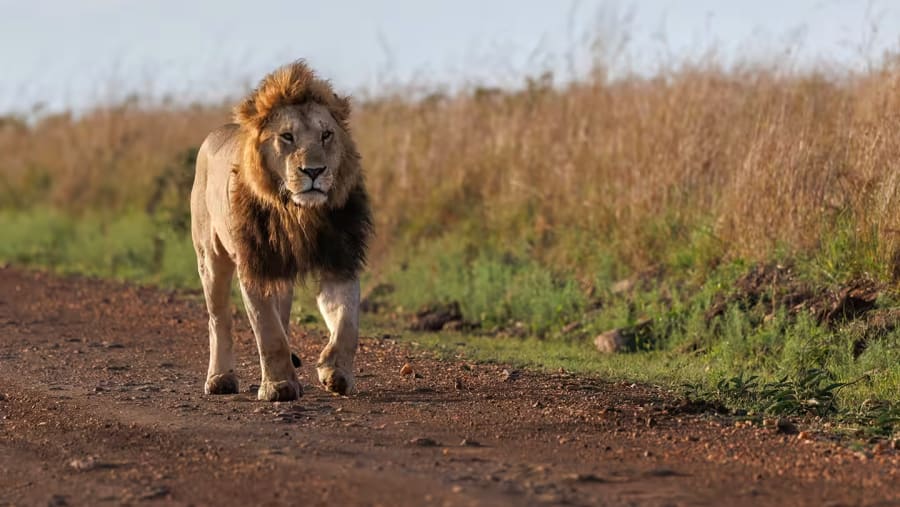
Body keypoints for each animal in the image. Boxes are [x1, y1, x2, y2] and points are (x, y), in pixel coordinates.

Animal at [190, 61, 372, 402]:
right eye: (287, 136)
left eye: (326, 135)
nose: (314, 171)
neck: (299, 213)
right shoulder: (255, 263)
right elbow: (268, 331)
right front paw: (279, 386)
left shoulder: (339, 258)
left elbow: (347, 322)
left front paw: (336, 373)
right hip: (210, 257)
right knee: (218, 318)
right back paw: (220, 378)